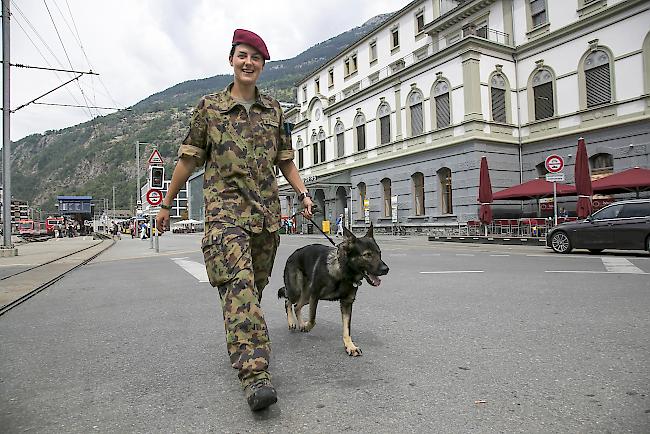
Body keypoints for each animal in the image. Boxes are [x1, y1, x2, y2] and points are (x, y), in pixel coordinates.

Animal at [276, 224, 388, 356]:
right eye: (367, 255)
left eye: (379, 253)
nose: (386, 269)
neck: (343, 271)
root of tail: (292, 254)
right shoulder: (315, 296)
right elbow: (313, 319)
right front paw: (308, 325)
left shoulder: (346, 303)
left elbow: (346, 328)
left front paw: (350, 346)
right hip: (297, 291)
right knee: (288, 301)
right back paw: (292, 322)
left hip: (306, 297)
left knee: (297, 306)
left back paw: (301, 323)